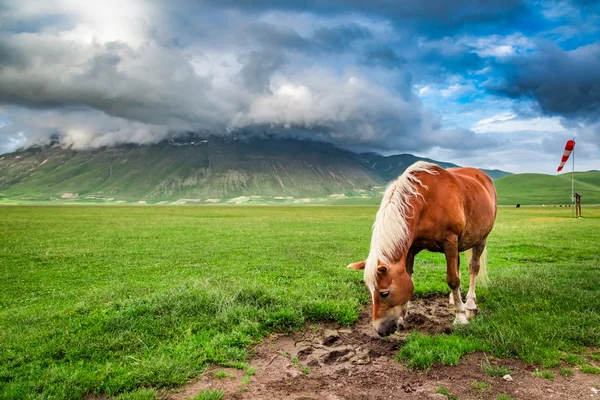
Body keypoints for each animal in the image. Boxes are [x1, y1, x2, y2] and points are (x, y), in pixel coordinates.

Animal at [346, 161, 496, 336]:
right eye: (369, 291)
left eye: (384, 293)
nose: (380, 330)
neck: (426, 202)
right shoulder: (411, 247)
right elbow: (411, 276)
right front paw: (402, 317)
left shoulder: (450, 241)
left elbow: (453, 280)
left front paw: (460, 318)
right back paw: (454, 299)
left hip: (480, 238)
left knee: (474, 267)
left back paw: (470, 305)